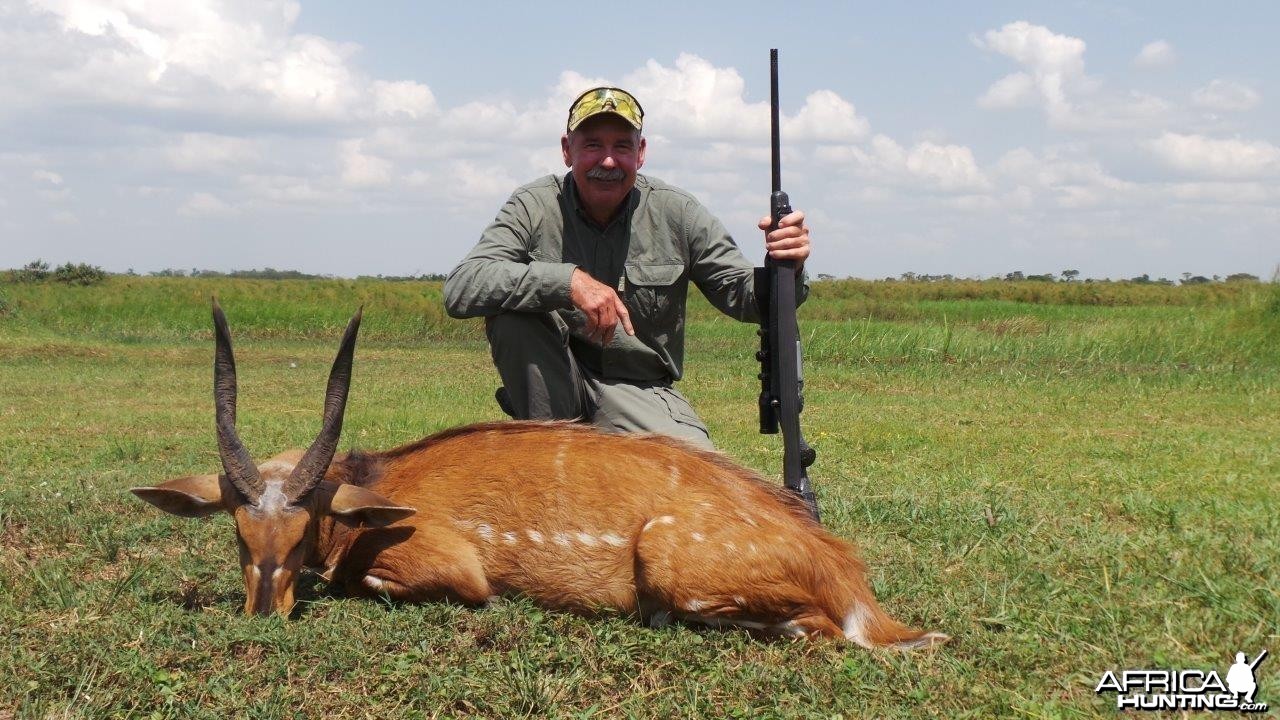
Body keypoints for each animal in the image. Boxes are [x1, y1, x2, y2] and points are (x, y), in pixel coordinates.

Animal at [129, 299, 947, 648]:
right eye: (238, 534)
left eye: (301, 534)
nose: (263, 612)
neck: (377, 488)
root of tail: (849, 576)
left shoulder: (449, 567)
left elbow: (373, 583)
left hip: (671, 560)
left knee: (818, 628)